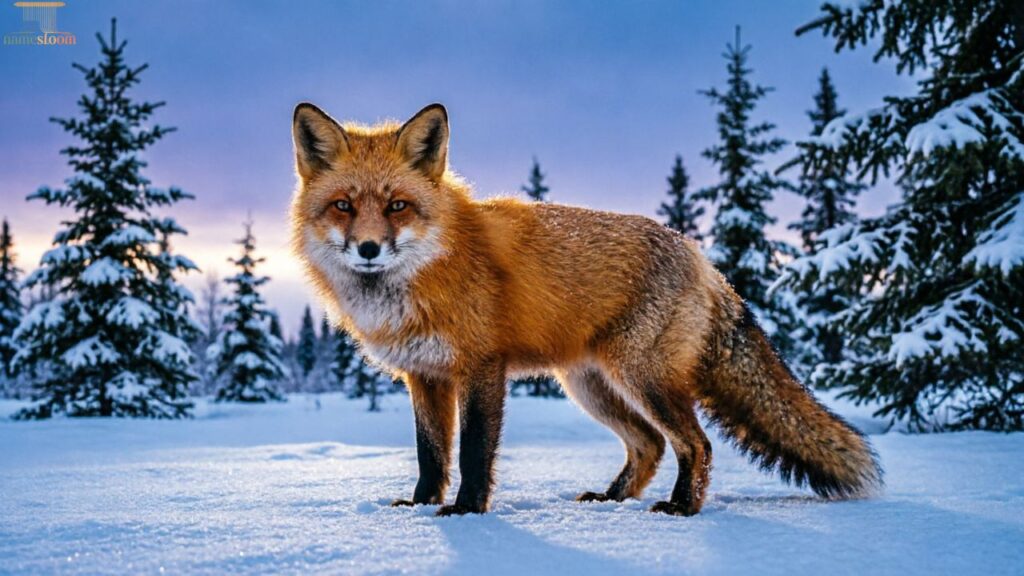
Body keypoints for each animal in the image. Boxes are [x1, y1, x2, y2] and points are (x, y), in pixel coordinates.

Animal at [289, 102, 883, 517]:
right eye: (343, 206)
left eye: (398, 206)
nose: (369, 249)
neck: (425, 274)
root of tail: (702, 258)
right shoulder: (425, 376)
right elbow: (431, 454)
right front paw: (420, 508)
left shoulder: (481, 367)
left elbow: (474, 451)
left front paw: (466, 513)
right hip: (591, 386)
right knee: (648, 446)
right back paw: (612, 499)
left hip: (643, 378)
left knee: (697, 444)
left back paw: (682, 508)